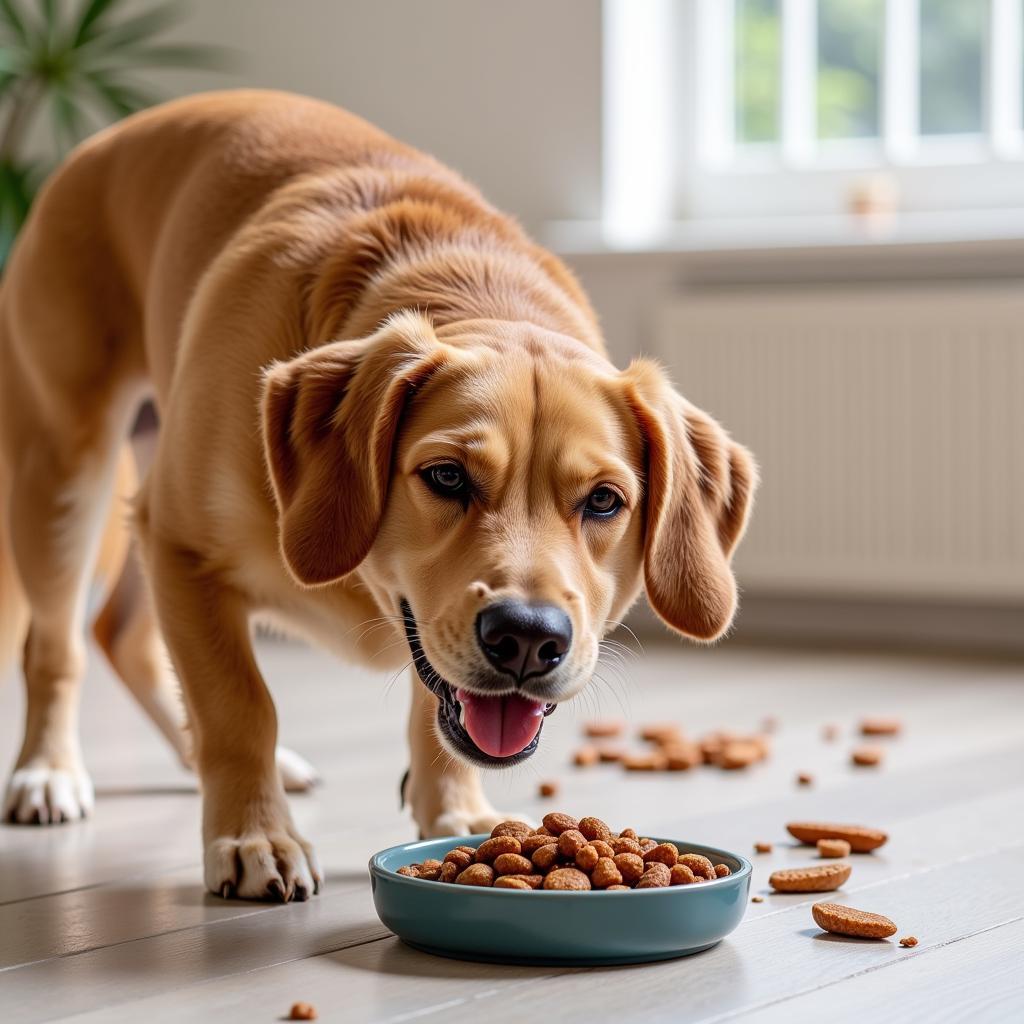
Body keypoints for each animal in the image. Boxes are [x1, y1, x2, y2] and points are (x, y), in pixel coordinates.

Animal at [0, 92, 753, 901]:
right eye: (447, 476)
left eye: (605, 501)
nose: (527, 638)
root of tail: (108, 137)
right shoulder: (181, 546)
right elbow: (239, 706)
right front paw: (253, 835)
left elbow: (435, 715)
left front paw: (458, 814)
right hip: (63, 480)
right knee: (57, 646)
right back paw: (48, 772)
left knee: (121, 635)